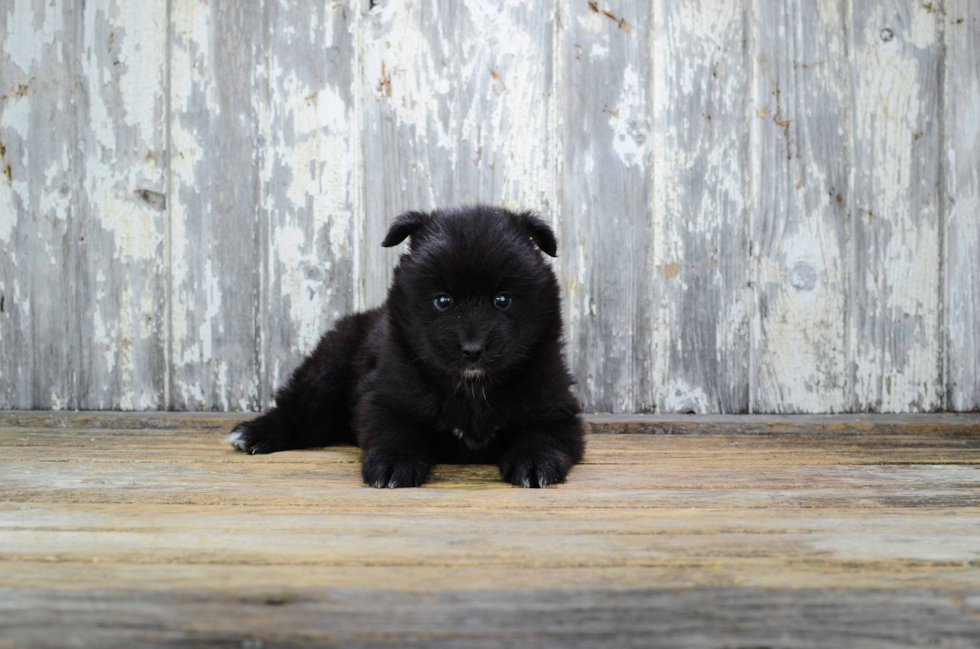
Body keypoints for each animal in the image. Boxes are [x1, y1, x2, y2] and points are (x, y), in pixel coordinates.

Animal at [226, 206, 584, 486]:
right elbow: (395, 430)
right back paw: (255, 434)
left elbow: (542, 433)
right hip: (327, 368)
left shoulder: (558, 408)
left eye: (502, 300)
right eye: (443, 300)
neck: (471, 388)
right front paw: (392, 463)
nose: (472, 349)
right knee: (301, 410)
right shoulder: (384, 397)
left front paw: (535, 462)